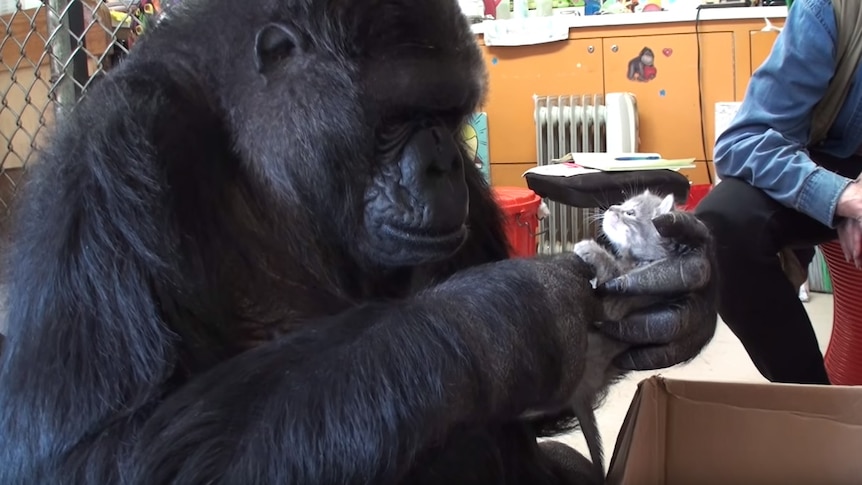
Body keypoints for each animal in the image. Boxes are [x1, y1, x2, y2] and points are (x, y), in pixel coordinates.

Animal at [0, 0, 720, 482]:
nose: (446, 162)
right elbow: (97, 455)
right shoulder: (116, 158)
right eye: (398, 117)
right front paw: (505, 319)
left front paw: (683, 295)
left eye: (451, 113)